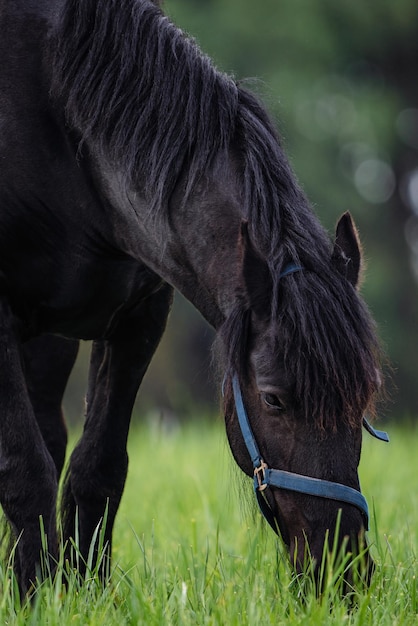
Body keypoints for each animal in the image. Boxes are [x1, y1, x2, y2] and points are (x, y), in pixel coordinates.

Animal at [0, 0, 384, 592]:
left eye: (365, 396)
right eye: (274, 398)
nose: (343, 574)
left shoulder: (139, 319)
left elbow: (98, 467)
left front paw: (85, 590)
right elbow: (24, 468)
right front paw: (36, 594)